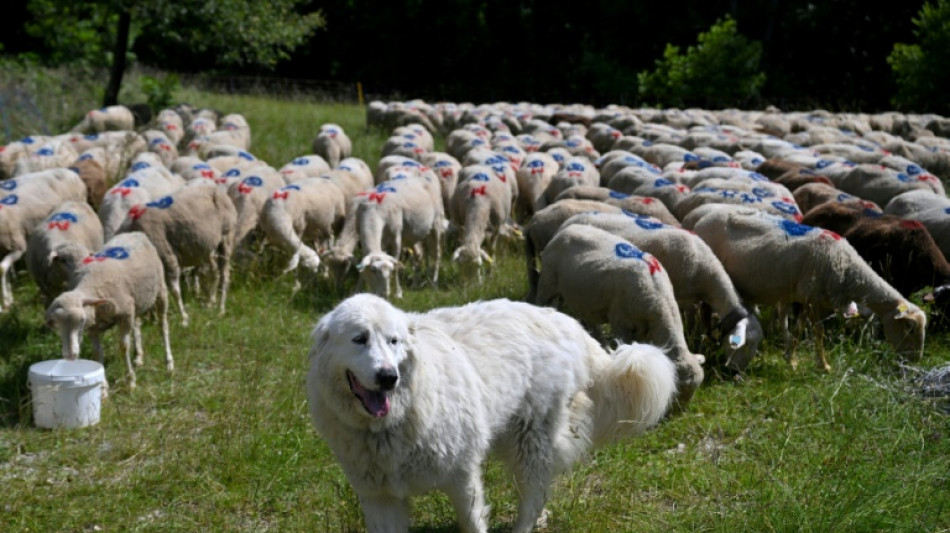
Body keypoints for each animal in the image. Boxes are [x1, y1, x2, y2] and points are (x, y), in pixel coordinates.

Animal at [44, 231, 173, 388]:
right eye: (57, 324)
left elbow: (123, 346)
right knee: (137, 324)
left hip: (160, 290)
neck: (90, 286)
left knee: (163, 326)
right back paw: (139, 357)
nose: (69, 356)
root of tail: (135, 233)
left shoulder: (125, 315)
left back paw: (169, 363)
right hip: (136, 299)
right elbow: (97, 353)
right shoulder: (93, 327)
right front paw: (103, 387)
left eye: (81, 320)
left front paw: (131, 381)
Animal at [304, 294, 676, 532]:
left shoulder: (462, 476)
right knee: (540, 488)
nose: (388, 377)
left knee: (532, 494)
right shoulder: (380, 499)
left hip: (530, 439)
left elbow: (472, 523)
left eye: (393, 341)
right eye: (359, 339)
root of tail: (569, 323)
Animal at [540, 222, 704, 406]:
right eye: (678, 389)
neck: (659, 300)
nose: (679, 412)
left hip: (585, 297)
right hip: (547, 282)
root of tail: (568, 228)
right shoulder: (620, 321)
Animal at [684, 204, 928, 366]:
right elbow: (818, 331)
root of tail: (702, 219)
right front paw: (824, 365)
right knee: (704, 311)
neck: (848, 269)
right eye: (909, 328)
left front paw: (790, 359)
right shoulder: (813, 297)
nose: (915, 361)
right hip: (709, 275)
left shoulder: (806, 297)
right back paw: (704, 342)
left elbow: (799, 328)